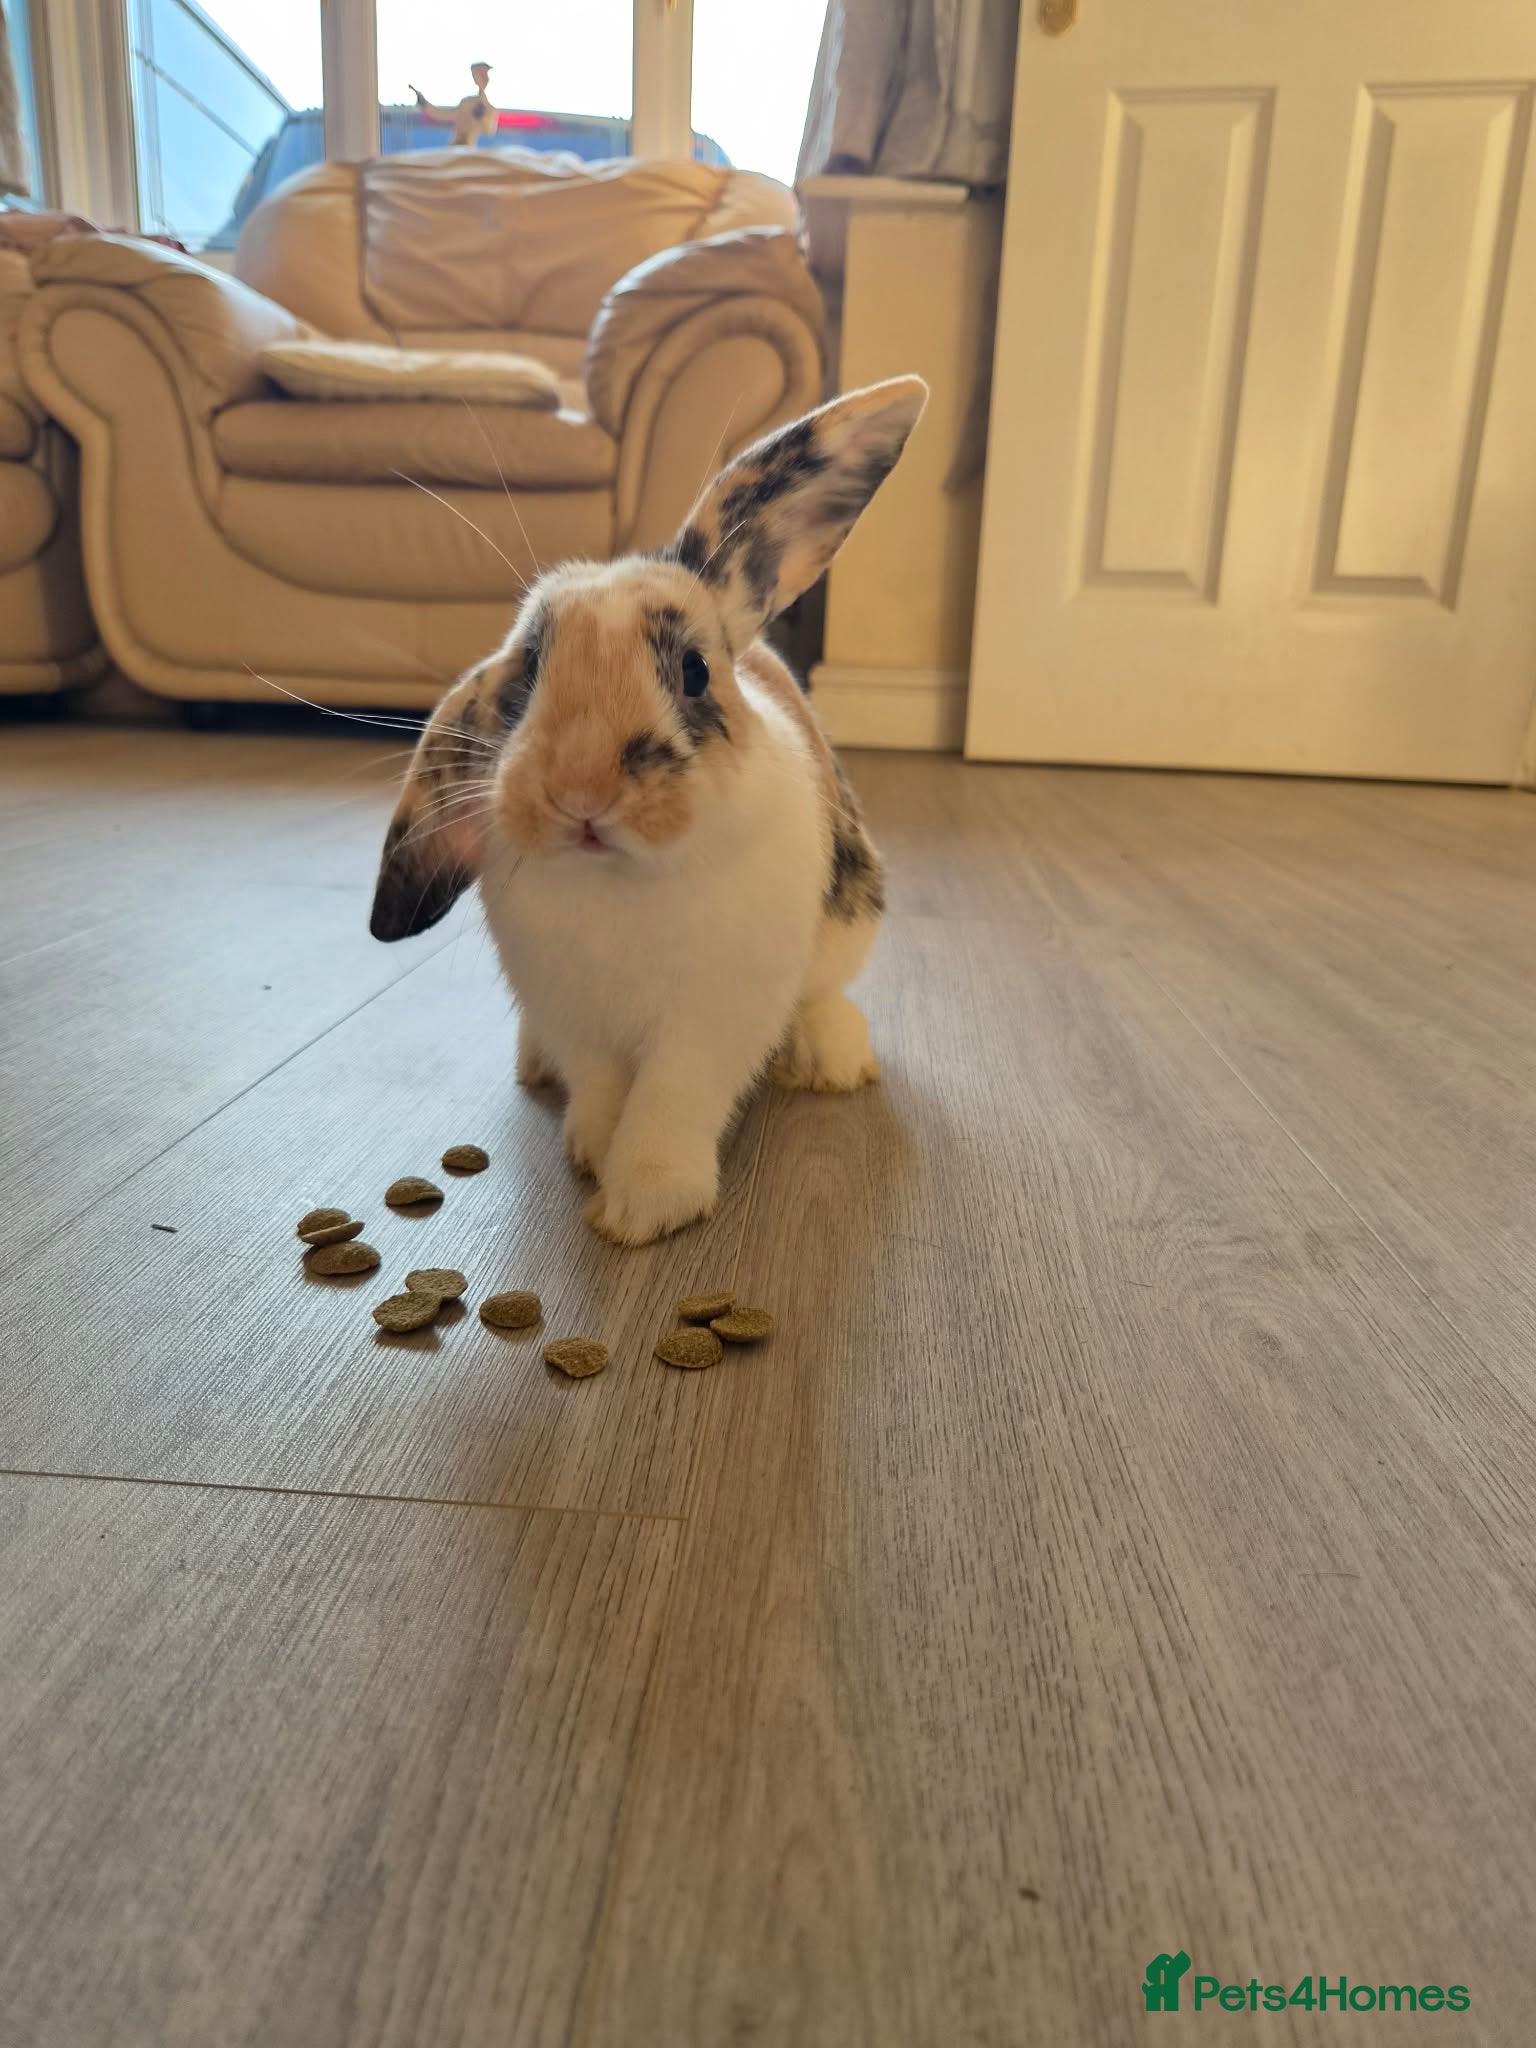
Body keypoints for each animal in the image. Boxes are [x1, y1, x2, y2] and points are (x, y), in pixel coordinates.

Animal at [368, 374, 927, 1245]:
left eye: (693, 671)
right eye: (528, 670)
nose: (580, 794)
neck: (619, 884)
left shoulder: (707, 1025)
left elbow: (671, 1104)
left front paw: (643, 1208)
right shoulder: (576, 1016)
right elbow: (601, 1089)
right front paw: (594, 1152)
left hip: (847, 921)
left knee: (823, 994)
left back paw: (835, 1062)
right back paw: (535, 1066)